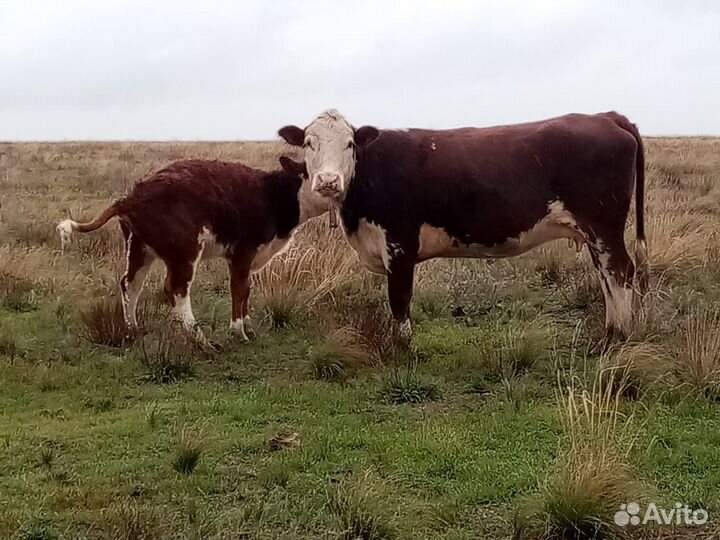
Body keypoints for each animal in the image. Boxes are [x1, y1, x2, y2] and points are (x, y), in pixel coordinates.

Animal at [57, 158, 327, 351]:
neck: (272, 196)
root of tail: (131, 197)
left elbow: (247, 291)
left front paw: (249, 327)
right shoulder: (242, 252)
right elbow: (239, 290)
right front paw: (238, 333)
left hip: (139, 249)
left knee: (130, 284)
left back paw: (133, 328)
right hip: (184, 251)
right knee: (175, 289)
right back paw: (201, 340)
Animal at [279, 110, 648, 343]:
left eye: (350, 143)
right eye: (308, 143)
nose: (328, 181)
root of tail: (606, 116)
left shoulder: (399, 246)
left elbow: (399, 300)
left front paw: (403, 348)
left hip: (604, 227)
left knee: (620, 272)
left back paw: (619, 336)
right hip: (596, 233)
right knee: (607, 275)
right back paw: (611, 330)